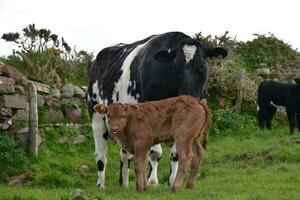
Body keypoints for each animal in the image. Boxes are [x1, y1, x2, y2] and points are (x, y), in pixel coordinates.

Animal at [86, 30, 227, 188]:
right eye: (176, 68)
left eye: (202, 68)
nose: (189, 96)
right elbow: (155, 152)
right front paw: (152, 181)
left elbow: (176, 152)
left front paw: (173, 181)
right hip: (96, 116)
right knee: (101, 153)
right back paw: (101, 184)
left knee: (125, 153)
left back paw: (124, 183)